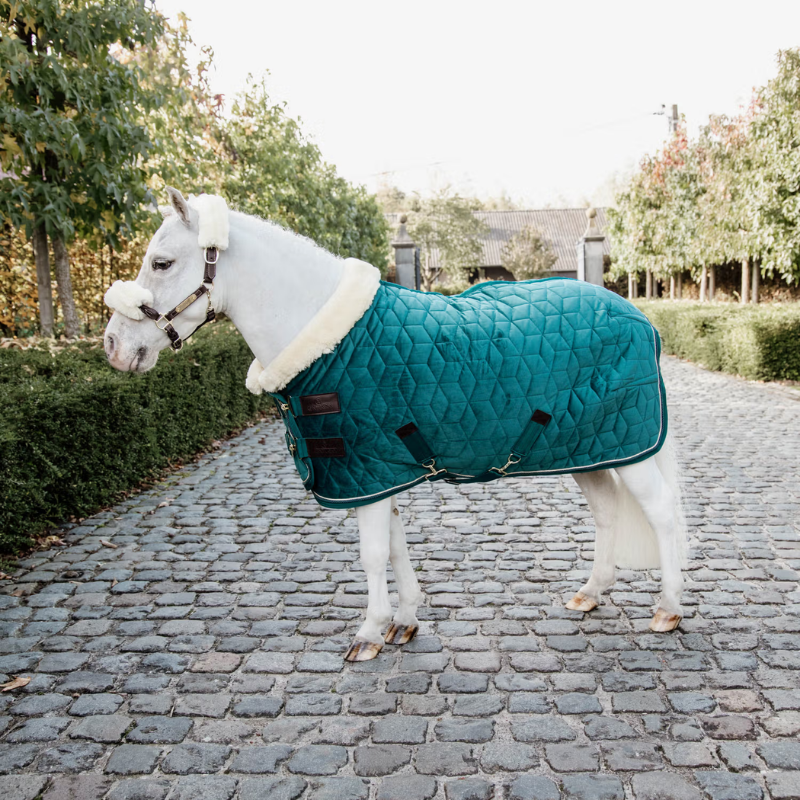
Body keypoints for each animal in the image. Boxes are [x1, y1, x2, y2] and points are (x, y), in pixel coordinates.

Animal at [104, 188, 687, 662]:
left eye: (161, 262)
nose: (114, 348)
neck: (331, 341)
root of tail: (642, 319)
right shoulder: (381, 472)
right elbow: (396, 545)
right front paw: (403, 623)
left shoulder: (367, 469)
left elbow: (372, 553)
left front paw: (369, 632)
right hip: (593, 449)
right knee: (608, 513)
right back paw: (592, 592)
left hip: (630, 447)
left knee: (660, 514)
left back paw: (668, 608)